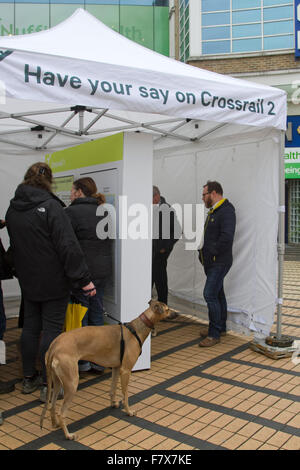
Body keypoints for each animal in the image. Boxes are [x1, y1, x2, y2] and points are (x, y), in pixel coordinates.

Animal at [41, 302, 175, 440]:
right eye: (167, 309)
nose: (177, 313)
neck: (136, 329)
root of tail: (54, 345)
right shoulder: (125, 370)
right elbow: (125, 395)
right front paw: (129, 411)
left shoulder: (116, 368)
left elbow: (112, 390)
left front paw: (113, 404)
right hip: (72, 383)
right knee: (61, 412)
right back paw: (68, 435)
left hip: (57, 382)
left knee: (52, 405)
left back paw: (55, 424)